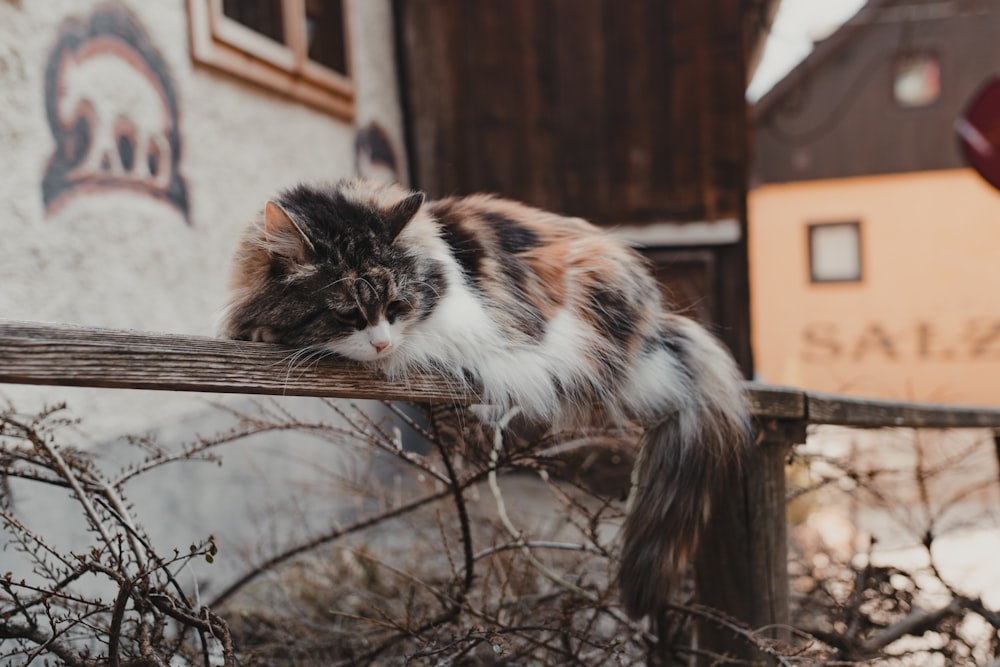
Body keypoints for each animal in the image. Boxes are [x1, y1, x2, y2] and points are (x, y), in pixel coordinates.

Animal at [221, 179, 752, 620]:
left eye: (396, 307)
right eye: (349, 314)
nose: (381, 344)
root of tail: (658, 319)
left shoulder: (462, 327)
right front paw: (256, 332)